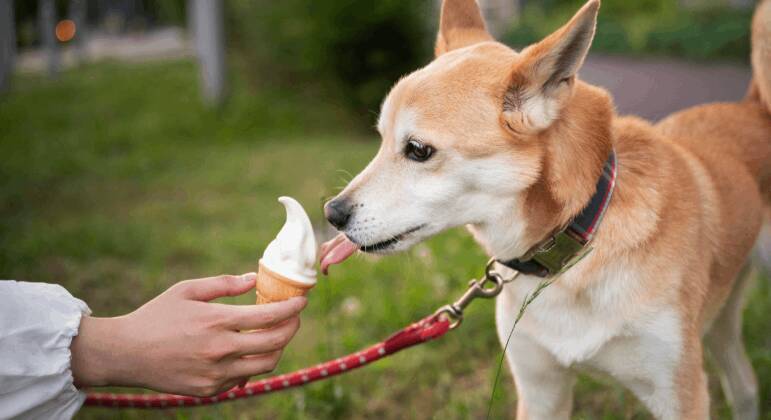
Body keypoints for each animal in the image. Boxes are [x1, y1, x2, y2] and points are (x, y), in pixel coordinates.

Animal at [320, 1, 771, 418]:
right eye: (381, 139)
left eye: (417, 150)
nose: (332, 214)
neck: (578, 239)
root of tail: (753, 107)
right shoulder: (540, 390)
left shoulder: (678, 393)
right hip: (719, 321)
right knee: (745, 385)